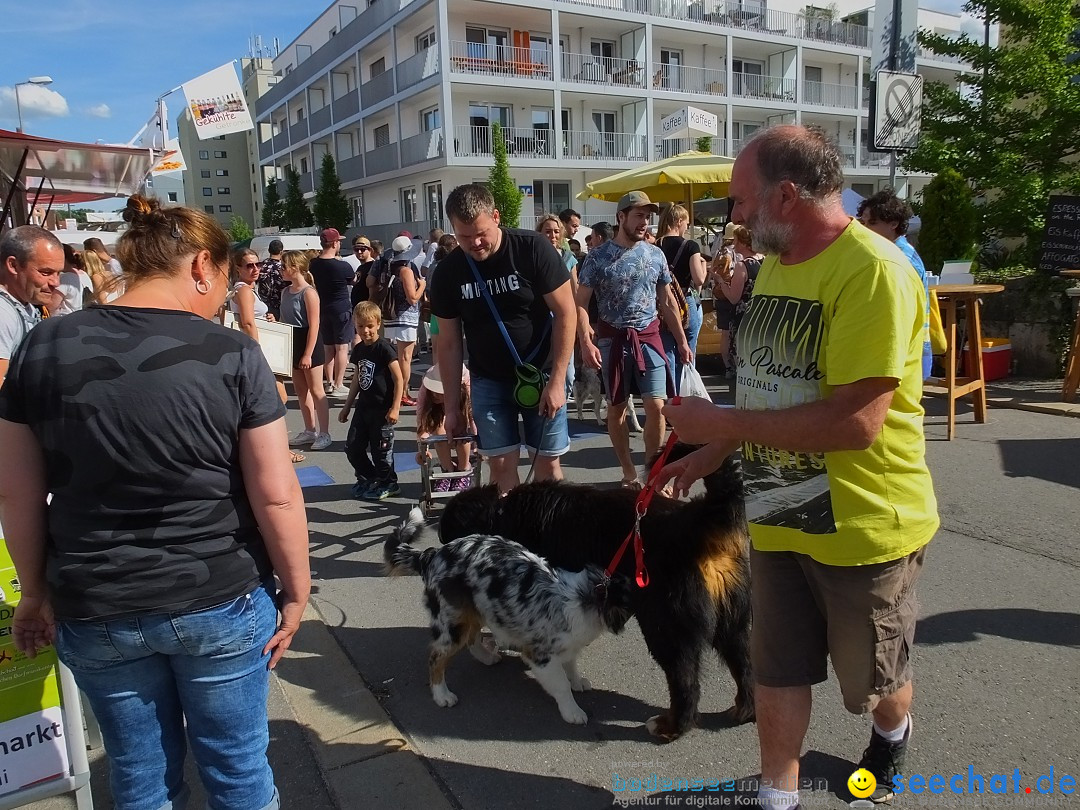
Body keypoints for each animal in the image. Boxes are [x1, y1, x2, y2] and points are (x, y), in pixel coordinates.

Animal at [438, 447, 751, 747]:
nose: (444, 553)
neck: (503, 514)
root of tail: (697, 519)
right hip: (732, 622)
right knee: (744, 665)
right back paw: (743, 710)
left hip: (664, 626)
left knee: (686, 683)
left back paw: (671, 726)